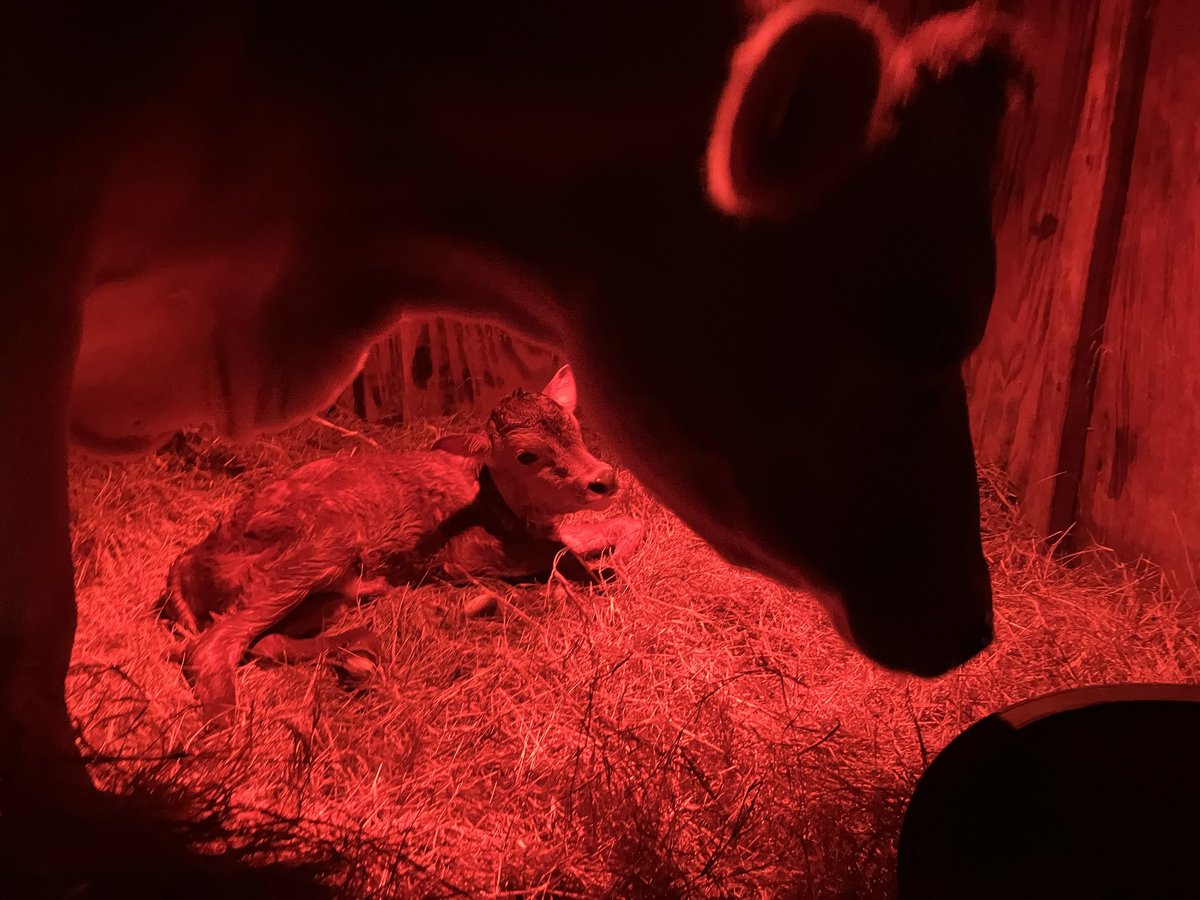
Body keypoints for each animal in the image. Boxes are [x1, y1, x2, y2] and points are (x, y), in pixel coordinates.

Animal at [0, 0, 1024, 884]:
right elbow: (39, 612)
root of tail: (187, 554)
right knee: (215, 649)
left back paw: (357, 650)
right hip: (314, 548)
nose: (971, 618)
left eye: (578, 427)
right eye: (932, 318)